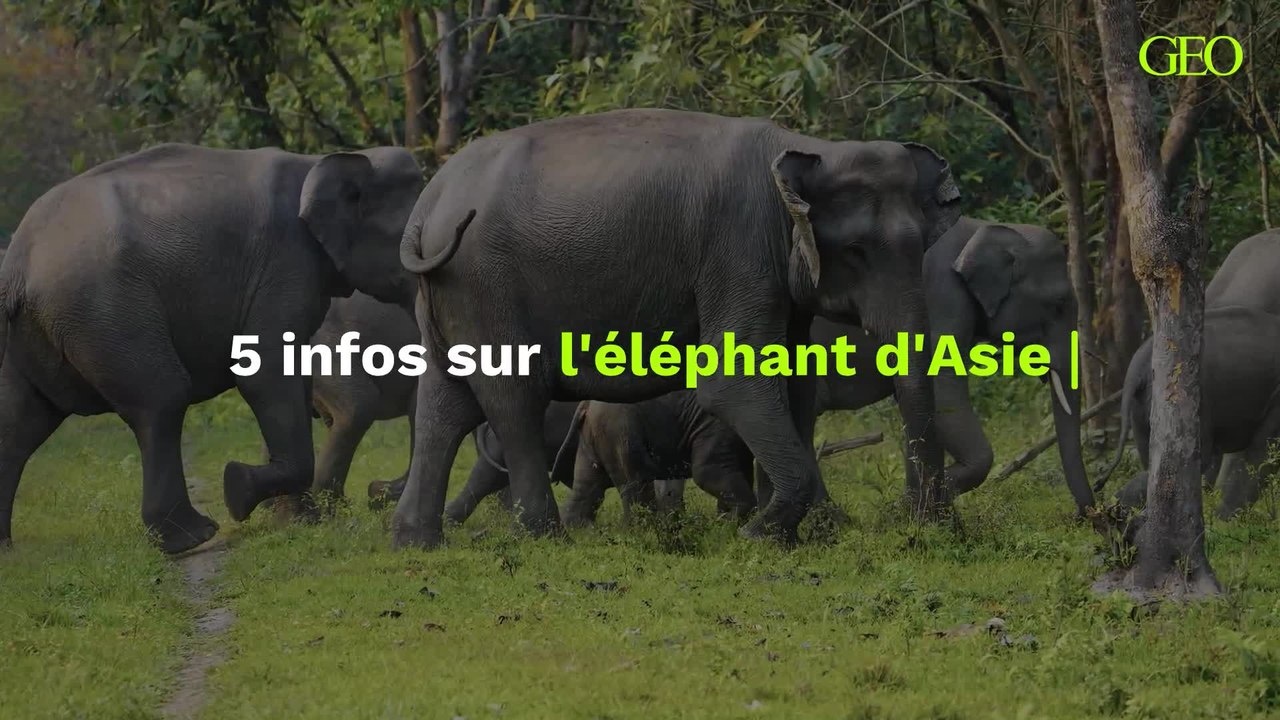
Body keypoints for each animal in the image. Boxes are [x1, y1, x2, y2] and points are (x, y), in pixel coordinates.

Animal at [0, 143, 423, 553]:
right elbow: (265, 374)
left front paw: (297, 521)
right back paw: (192, 537)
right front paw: (238, 488)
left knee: (21, 423)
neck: (322, 161)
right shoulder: (285, 264)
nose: (380, 490)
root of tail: (17, 260)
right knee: (161, 398)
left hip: (38, 331)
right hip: (104, 311)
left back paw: (6, 548)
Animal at [392, 108, 961, 549]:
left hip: (448, 294)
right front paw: (758, 534)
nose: (925, 526)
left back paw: (415, 541)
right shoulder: (740, 250)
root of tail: (427, 206)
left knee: (445, 404)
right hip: (485, 285)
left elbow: (797, 388)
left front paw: (815, 534)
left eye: (922, 245)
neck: (807, 149)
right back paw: (541, 536)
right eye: (857, 251)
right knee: (513, 399)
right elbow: (734, 385)